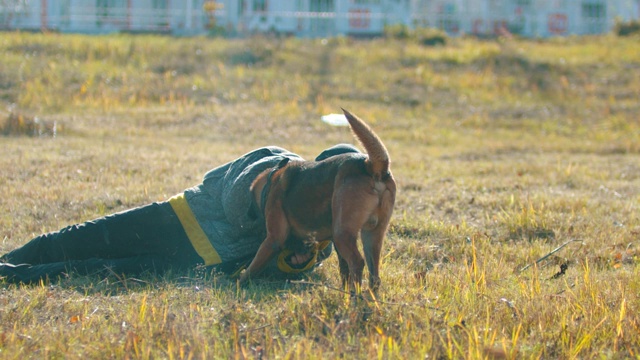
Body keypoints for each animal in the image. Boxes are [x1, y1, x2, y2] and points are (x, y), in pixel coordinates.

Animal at [240, 108, 396, 292]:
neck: (272, 180)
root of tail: (370, 165)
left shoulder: (273, 239)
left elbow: (252, 267)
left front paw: (238, 283)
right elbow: (344, 269)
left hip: (343, 233)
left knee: (357, 262)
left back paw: (354, 294)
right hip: (372, 235)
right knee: (374, 275)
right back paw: (367, 295)